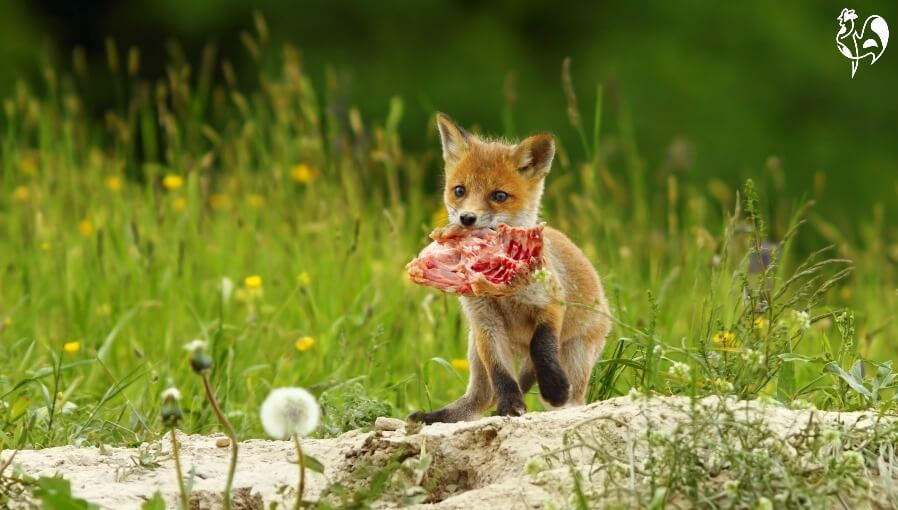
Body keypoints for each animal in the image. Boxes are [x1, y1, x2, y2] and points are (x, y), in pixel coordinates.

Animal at [410, 113, 612, 423]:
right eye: (459, 190)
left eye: (499, 196)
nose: (467, 218)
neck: (504, 291)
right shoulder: (485, 323)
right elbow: (501, 374)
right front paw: (509, 406)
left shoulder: (551, 305)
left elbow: (541, 346)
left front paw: (553, 387)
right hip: (474, 349)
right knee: (481, 397)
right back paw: (438, 416)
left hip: (576, 354)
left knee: (572, 397)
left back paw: (563, 402)